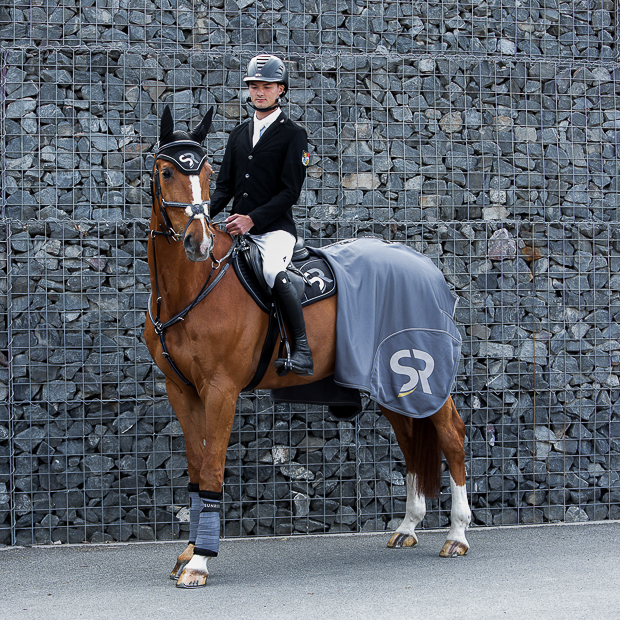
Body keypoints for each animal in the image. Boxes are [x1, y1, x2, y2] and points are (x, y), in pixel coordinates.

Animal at [144, 108, 470, 592]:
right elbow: (198, 467)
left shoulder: (220, 391)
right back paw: (408, 526)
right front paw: (187, 552)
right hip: (390, 382)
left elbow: (214, 466)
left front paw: (201, 560)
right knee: (411, 440)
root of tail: (425, 266)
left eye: (203, 172)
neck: (193, 285)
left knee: (450, 434)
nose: (197, 242)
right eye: (167, 172)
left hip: (425, 376)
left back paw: (457, 534)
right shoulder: (181, 391)